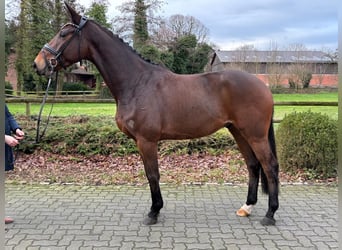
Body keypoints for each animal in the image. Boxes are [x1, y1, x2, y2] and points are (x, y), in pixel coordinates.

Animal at [32, 1, 278, 226]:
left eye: (63, 34)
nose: (38, 64)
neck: (137, 82)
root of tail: (263, 86)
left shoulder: (147, 140)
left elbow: (152, 175)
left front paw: (154, 211)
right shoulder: (142, 142)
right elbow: (150, 174)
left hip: (255, 134)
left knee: (269, 165)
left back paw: (270, 214)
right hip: (238, 131)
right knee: (253, 165)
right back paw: (247, 207)